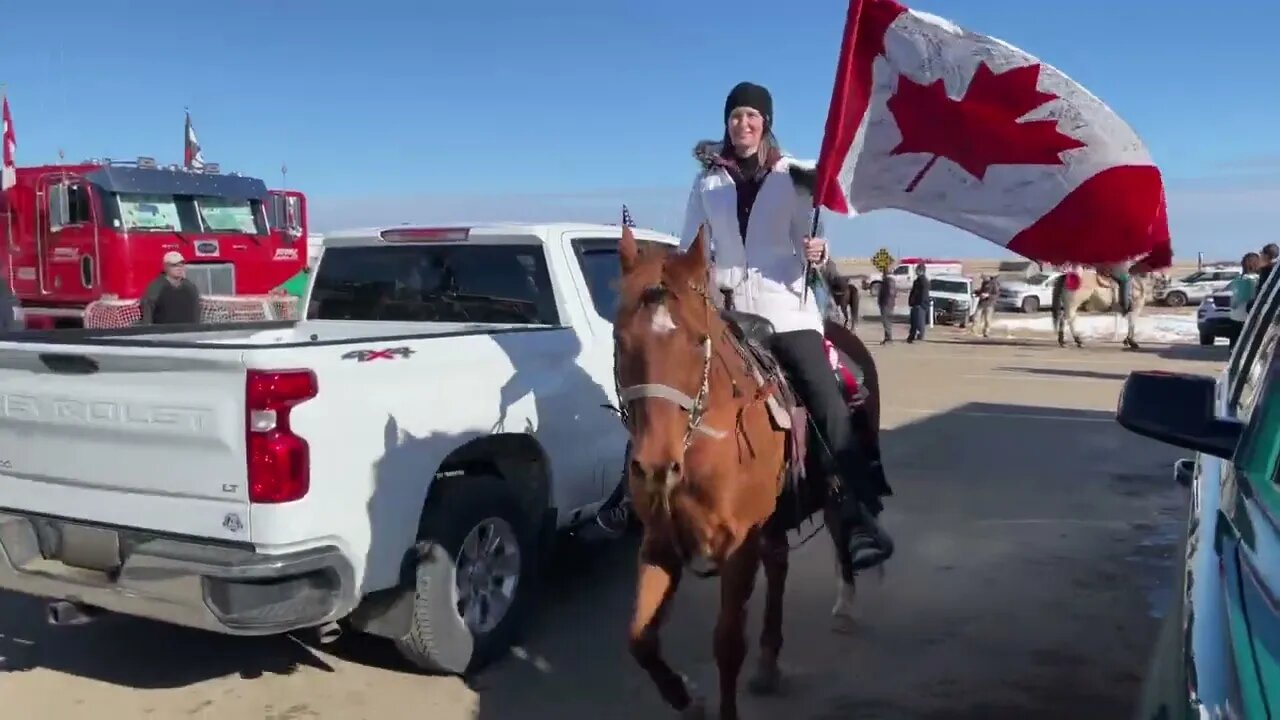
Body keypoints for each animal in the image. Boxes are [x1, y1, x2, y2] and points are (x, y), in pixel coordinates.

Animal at [614, 225, 885, 717]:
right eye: (621, 340)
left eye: (698, 340)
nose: (656, 465)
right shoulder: (659, 541)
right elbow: (640, 639)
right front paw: (686, 698)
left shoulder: (738, 546)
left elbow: (727, 643)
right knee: (778, 564)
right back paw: (769, 662)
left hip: (829, 486)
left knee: (840, 527)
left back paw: (845, 603)